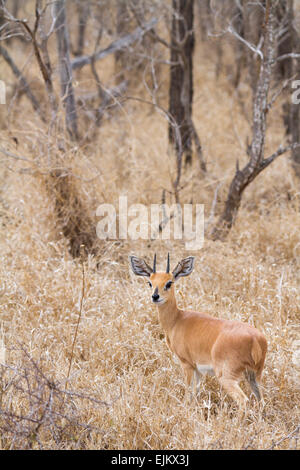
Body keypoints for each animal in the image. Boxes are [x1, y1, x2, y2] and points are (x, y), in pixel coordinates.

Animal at [129, 253, 268, 408]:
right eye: (150, 282)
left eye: (169, 283)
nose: (155, 296)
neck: (177, 320)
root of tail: (255, 339)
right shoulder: (198, 369)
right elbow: (196, 391)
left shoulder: (187, 364)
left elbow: (188, 392)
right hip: (255, 375)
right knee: (261, 400)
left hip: (227, 376)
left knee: (243, 400)